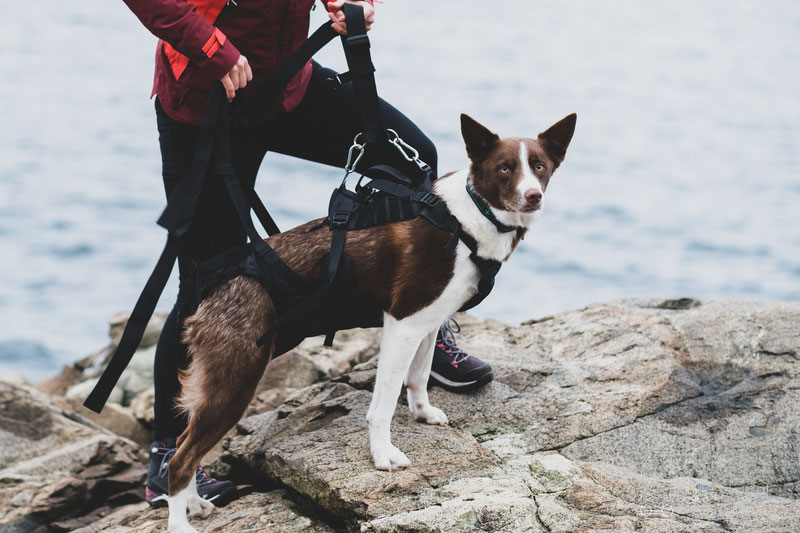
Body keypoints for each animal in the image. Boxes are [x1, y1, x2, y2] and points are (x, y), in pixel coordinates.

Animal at [166, 112, 576, 532]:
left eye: (539, 166)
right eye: (505, 168)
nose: (533, 196)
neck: (469, 218)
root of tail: (211, 294)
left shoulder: (428, 321)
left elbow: (418, 375)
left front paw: (422, 412)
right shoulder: (402, 323)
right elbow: (383, 403)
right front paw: (383, 455)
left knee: (185, 444)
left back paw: (195, 503)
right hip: (238, 377)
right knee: (179, 460)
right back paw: (181, 520)